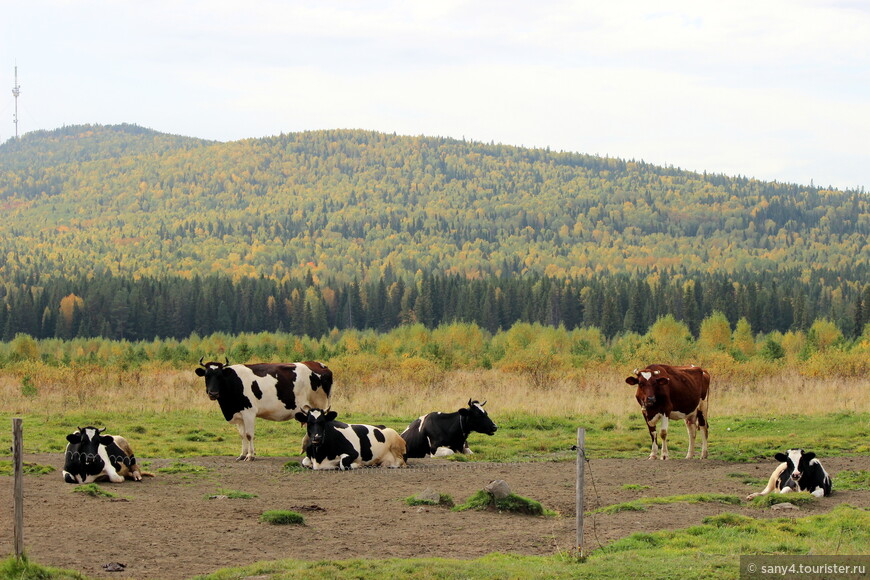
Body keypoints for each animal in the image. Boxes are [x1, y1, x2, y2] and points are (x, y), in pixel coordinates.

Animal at [197, 356, 334, 460]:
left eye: (220, 376)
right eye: (207, 375)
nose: (213, 393)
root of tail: (320, 365)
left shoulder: (249, 412)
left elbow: (249, 435)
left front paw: (250, 456)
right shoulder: (239, 415)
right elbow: (242, 435)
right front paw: (242, 455)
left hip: (319, 405)